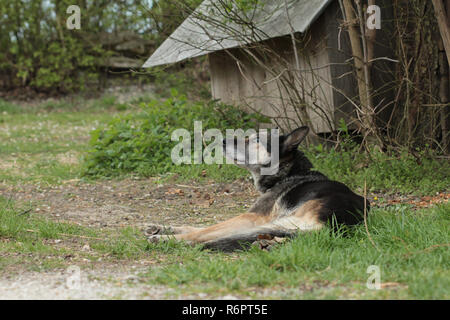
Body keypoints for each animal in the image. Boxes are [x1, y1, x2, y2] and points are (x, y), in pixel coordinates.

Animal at [148, 126, 370, 251]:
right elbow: (195, 226)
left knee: (209, 236)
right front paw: (162, 227)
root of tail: (338, 225)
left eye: (255, 140)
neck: (287, 172)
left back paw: (168, 240)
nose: (222, 140)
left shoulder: (252, 216)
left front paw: (166, 234)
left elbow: (203, 229)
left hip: (268, 222)